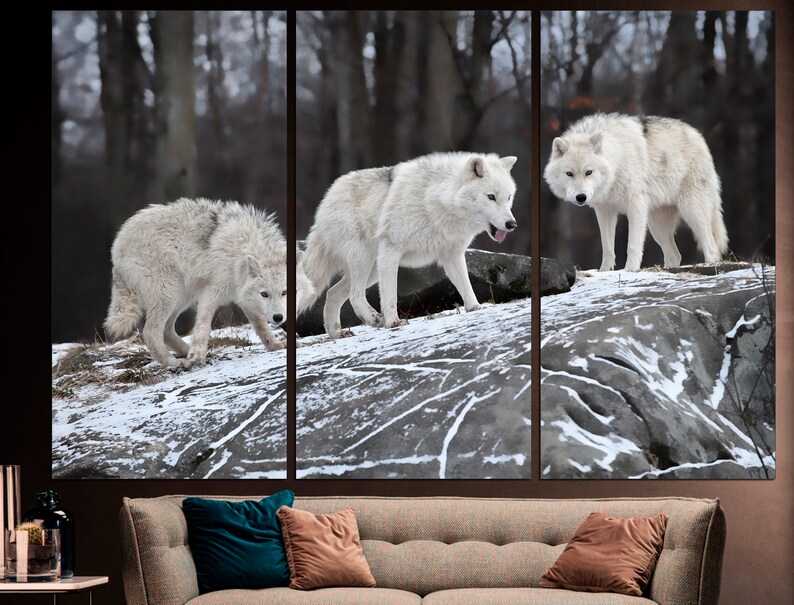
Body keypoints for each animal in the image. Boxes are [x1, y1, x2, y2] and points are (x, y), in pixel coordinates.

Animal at [104, 197, 298, 368]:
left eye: (285, 292)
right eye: (265, 294)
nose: (278, 317)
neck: (241, 250)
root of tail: (116, 246)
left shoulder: (243, 296)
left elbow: (261, 326)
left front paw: (276, 346)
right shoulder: (212, 290)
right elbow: (204, 324)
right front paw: (197, 354)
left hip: (182, 297)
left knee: (166, 331)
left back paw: (186, 351)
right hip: (169, 293)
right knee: (150, 333)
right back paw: (174, 362)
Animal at [299, 152, 518, 339]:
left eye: (508, 197)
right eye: (491, 197)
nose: (512, 224)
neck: (436, 200)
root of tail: (326, 199)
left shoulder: (452, 255)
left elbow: (466, 286)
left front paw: (475, 308)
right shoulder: (391, 250)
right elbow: (390, 295)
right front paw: (393, 323)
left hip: (372, 269)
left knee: (332, 293)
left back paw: (337, 333)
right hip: (365, 260)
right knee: (354, 295)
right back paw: (374, 319)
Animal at [543, 113, 728, 271]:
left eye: (589, 172)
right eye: (569, 173)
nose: (581, 197)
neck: (617, 161)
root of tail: (698, 136)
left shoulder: (636, 205)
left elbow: (633, 245)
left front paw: (630, 269)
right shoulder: (605, 211)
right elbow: (607, 247)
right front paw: (604, 271)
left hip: (691, 211)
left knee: (711, 247)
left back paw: (710, 265)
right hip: (657, 226)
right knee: (675, 255)